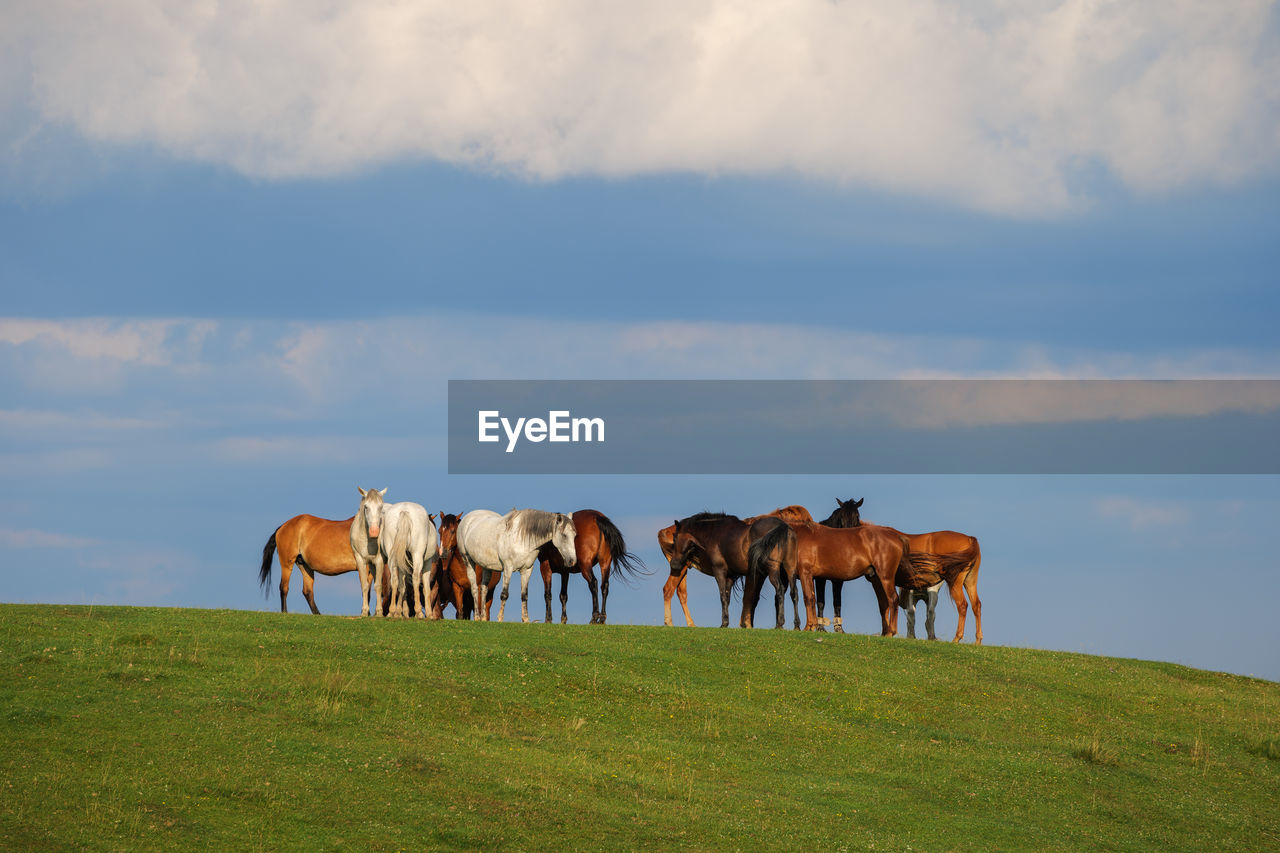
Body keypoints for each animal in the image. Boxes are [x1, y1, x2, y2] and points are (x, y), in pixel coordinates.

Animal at [350, 484, 384, 617]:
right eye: (366, 507)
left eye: (381, 506)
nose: (374, 531)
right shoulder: (360, 560)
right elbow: (364, 586)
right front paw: (364, 611)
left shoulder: (380, 561)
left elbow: (378, 586)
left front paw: (379, 612)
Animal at [824, 494, 983, 640]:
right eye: (841, 518)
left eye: (857, 516)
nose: (848, 537)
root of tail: (970, 539)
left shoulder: (879, 581)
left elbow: (884, 605)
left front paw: (886, 632)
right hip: (969, 581)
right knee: (976, 605)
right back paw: (978, 640)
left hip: (954, 582)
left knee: (962, 605)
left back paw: (957, 638)